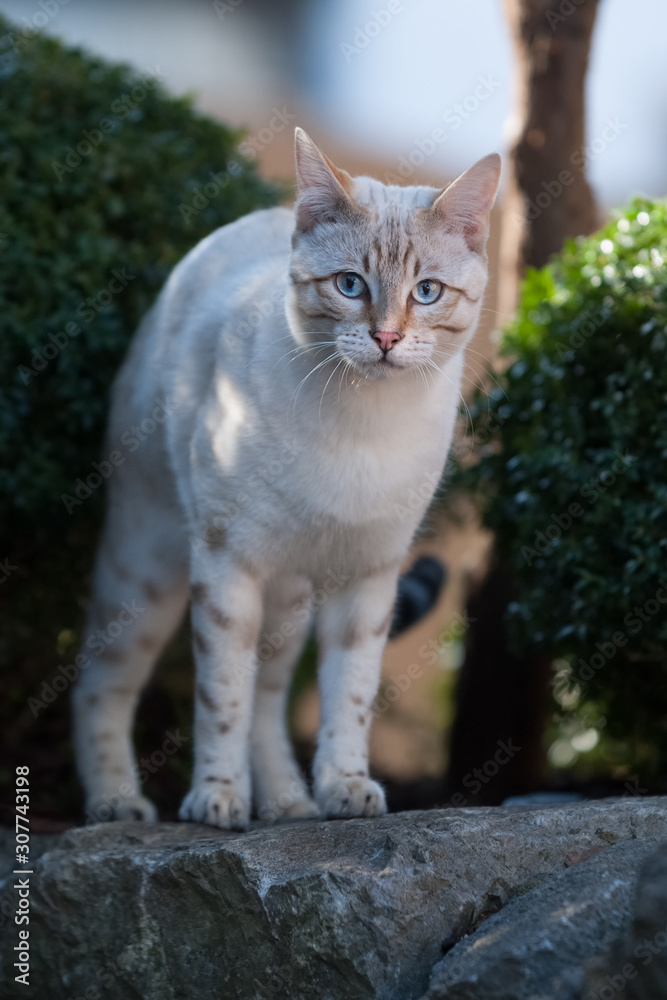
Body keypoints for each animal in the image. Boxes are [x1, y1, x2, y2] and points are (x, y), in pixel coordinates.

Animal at [73, 129, 500, 832]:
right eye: (350, 285)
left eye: (428, 292)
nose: (386, 338)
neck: (363, 428)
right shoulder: (226, 569)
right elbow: (222, 699)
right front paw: (216, 798)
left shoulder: (369, 577)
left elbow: (348, 697)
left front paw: (344, 787)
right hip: (146, 575)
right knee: (100, 686)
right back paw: (117, 803)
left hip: (289, 603)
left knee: (270, 703)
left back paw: (287, 803)